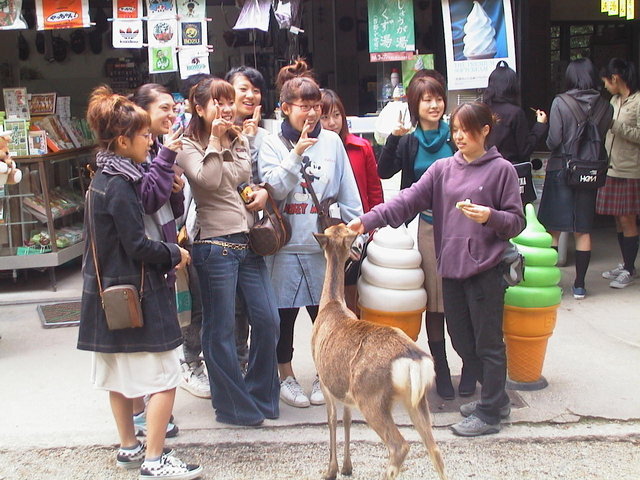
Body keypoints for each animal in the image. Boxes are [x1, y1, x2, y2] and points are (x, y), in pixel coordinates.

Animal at [312, 224, 448, 480]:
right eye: (342, 228)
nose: (358, 246)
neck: (331, 304)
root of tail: (413, 360)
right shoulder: (344, 391)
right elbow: (347, 420)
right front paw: (347, 467)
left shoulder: (325, 381)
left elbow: (332, 419)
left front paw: (331, 470)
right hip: (416, 399)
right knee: (435, 448)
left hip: (371, 397)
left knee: (399, 446)